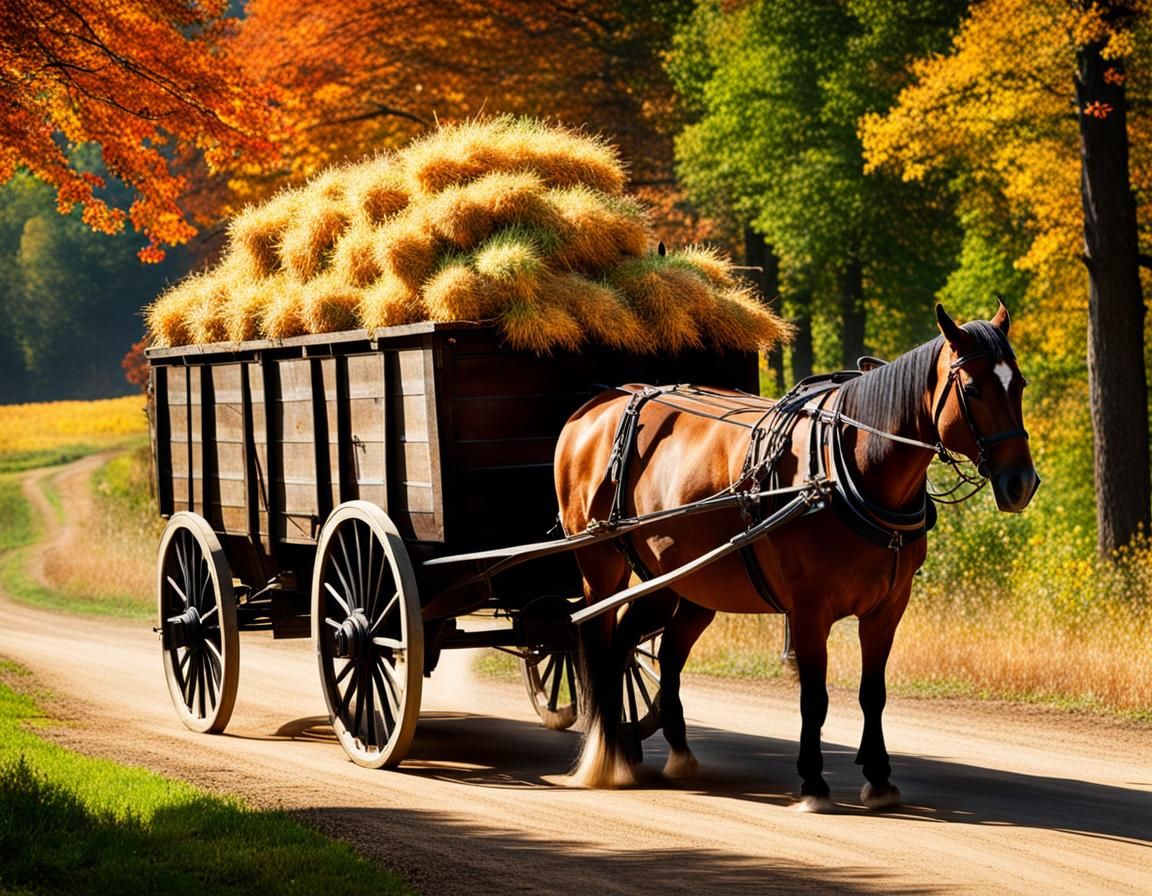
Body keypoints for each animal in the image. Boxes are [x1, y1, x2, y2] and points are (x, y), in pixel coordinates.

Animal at [554, 301, 1038, 811]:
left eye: (1019, 384)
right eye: (974, 389)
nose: (1021, 483)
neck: (847, 471)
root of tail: (598, 405)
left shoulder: (887, 609)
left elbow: (873, 694)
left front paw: (879, 777)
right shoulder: (809, 610)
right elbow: (814, 697)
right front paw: (813, 782)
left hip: (678, 580)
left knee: (647, 651)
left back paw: (669, 751)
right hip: (601, 569)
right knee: (604, 645)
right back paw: (605, 756)